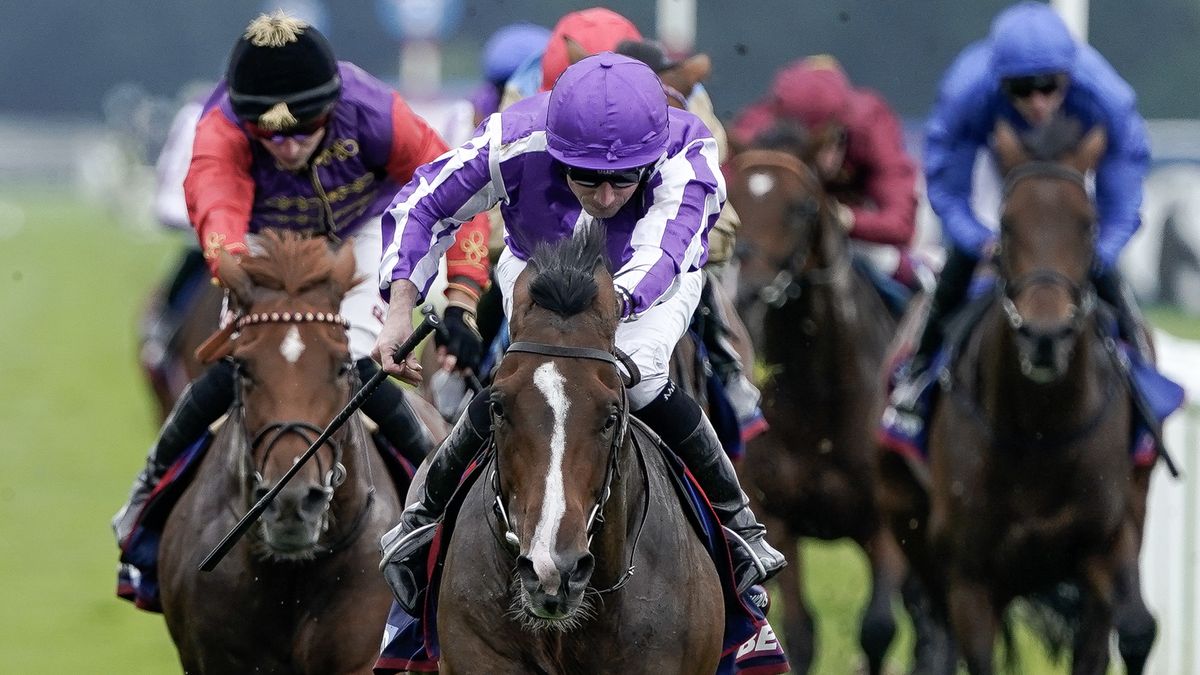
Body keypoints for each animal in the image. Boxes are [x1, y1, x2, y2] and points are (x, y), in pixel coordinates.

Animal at [720, 127, 907, 672]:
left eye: (801, 207)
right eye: (734, 195)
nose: (746, 290)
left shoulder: (885, 526)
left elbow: (878, 629)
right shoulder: (778, 518)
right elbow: (801, 632)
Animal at [888, 121, 1156, 672]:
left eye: (1088, 225)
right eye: (1008, 225)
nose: (1044, 336)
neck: (1039, 430)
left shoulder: (1106, 544)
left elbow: (1133, 630)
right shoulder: (970, 578)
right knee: (933, 629)